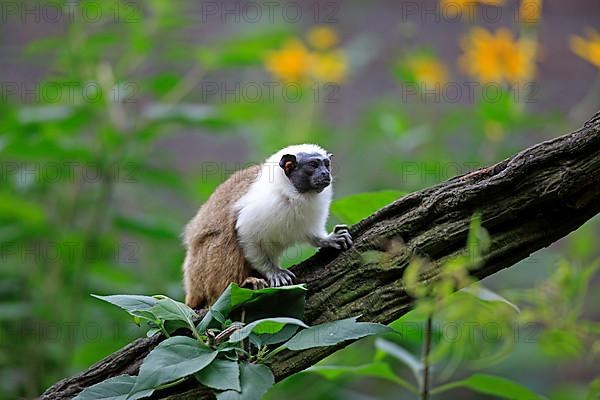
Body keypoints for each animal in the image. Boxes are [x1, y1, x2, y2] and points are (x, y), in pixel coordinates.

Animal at [183, 145, 352, 310]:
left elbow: (313, 235)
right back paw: (241, 285)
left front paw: (327, 240)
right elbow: (246, 235)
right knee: (226, 241)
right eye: (313, 165)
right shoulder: (261, 205)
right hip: (200, 268)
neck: (293, 195)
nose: (325, 173)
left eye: (327, 165)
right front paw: (272, 272)